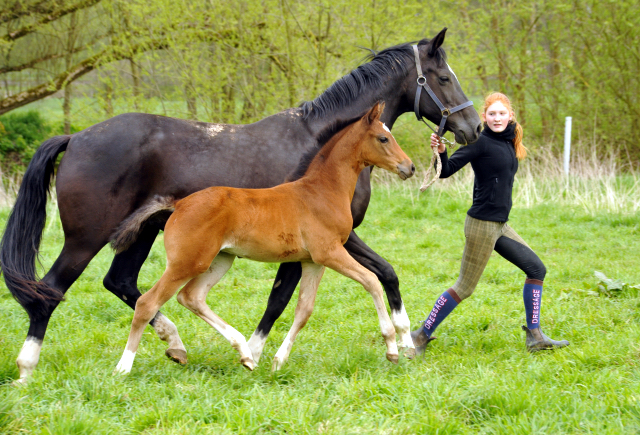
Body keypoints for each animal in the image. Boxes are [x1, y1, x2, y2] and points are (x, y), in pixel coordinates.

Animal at [114, 103, 416, 374]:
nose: (409, 167)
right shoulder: (330, 252)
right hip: (186, 263)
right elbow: (372, 280)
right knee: (147, 303)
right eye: (383, 138)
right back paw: (124, 367)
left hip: (220, 260)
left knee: (191, 297)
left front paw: (278, 361)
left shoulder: (313, 261)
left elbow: (304, 310)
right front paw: (391, 347)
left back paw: (245, 354)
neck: (322, 191)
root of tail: (178, 205)